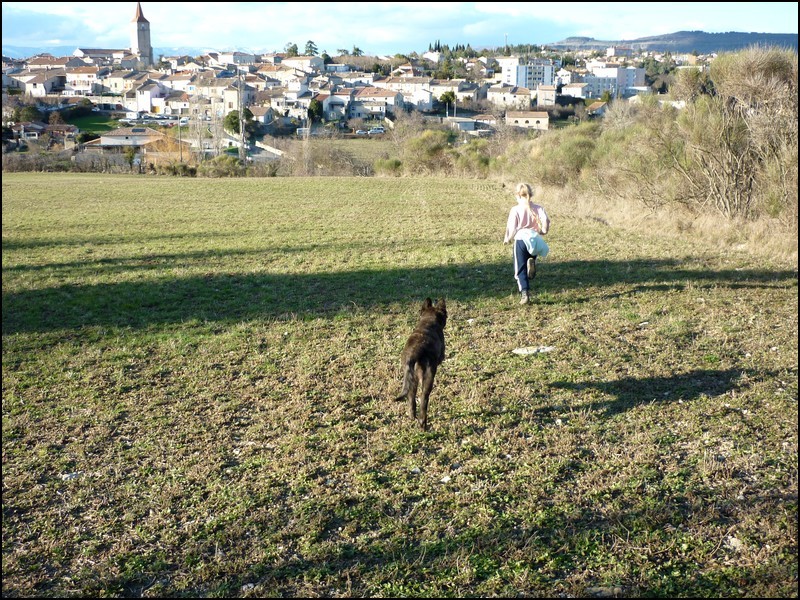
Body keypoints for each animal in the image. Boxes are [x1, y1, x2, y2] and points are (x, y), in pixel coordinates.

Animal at [396, 298, 446, 432]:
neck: (428, 321)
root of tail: (414, 353)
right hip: (427, 376)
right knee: (423, 399)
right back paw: (423, 424)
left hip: (411, 378)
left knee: (411, 397)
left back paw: (412, 416)